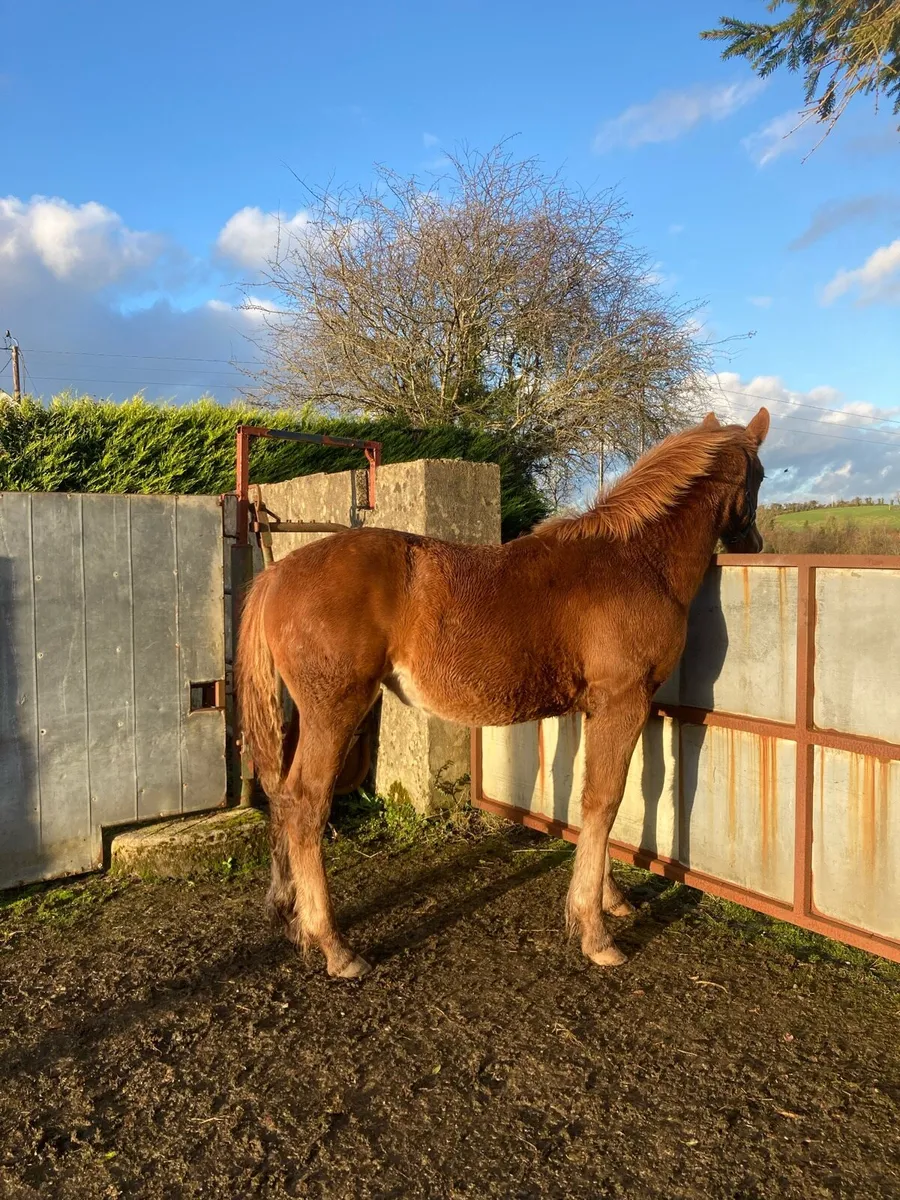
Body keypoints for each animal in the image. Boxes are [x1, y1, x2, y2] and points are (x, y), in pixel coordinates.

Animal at [236, 407, 770, 979]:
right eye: (760, 475)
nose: (757, 545)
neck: (633, 560)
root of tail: (276, 573)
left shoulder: (593, 708)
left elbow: (588, 799)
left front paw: (610, 898)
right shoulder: (624, 702)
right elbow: (606, 800)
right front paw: (594, 930)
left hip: (303, 715)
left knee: (281, 796)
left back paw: (292, 915)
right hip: (335, 712)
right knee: (306, 805)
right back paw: (334, 944)